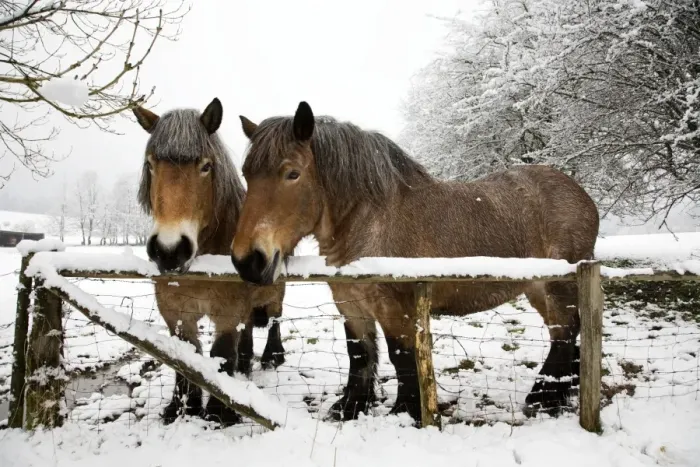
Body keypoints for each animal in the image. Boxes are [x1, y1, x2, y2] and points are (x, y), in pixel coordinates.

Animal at [132, 98, 286, 426]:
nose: (169, 250)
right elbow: (187, 358)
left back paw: (272, 357)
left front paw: (219, 412)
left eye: (205, 166)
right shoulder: (176, 314)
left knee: (275, 321)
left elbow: (221, 355)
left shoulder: (227, 313)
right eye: (151, 164)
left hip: (273, 297)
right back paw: (246, 364)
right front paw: (183, 407)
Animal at [230, 102, 600, 425]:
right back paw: (559, 392)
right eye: (247, 174)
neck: (371, 225)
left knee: (566, 332)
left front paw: (406, 412)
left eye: (292, 173)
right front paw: (350, 407)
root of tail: (580, 194)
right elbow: (359, 355)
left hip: (558, 286)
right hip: (537, 288)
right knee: (564, 333)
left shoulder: (399, 309)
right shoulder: (351, 306)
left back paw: (544, 397)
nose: (248, 260)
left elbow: (403, 358)